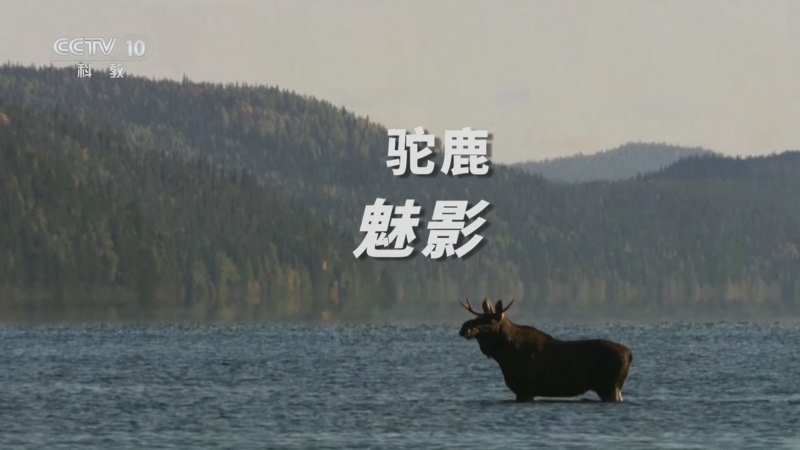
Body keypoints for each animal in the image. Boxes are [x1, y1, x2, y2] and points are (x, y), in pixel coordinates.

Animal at [459, 297, 632, 403]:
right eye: (478, 317)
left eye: (488, 321)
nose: (464, 328)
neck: (504, 356)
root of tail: (630, 354)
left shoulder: (525, 389)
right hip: (615, 388)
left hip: (609, 387)